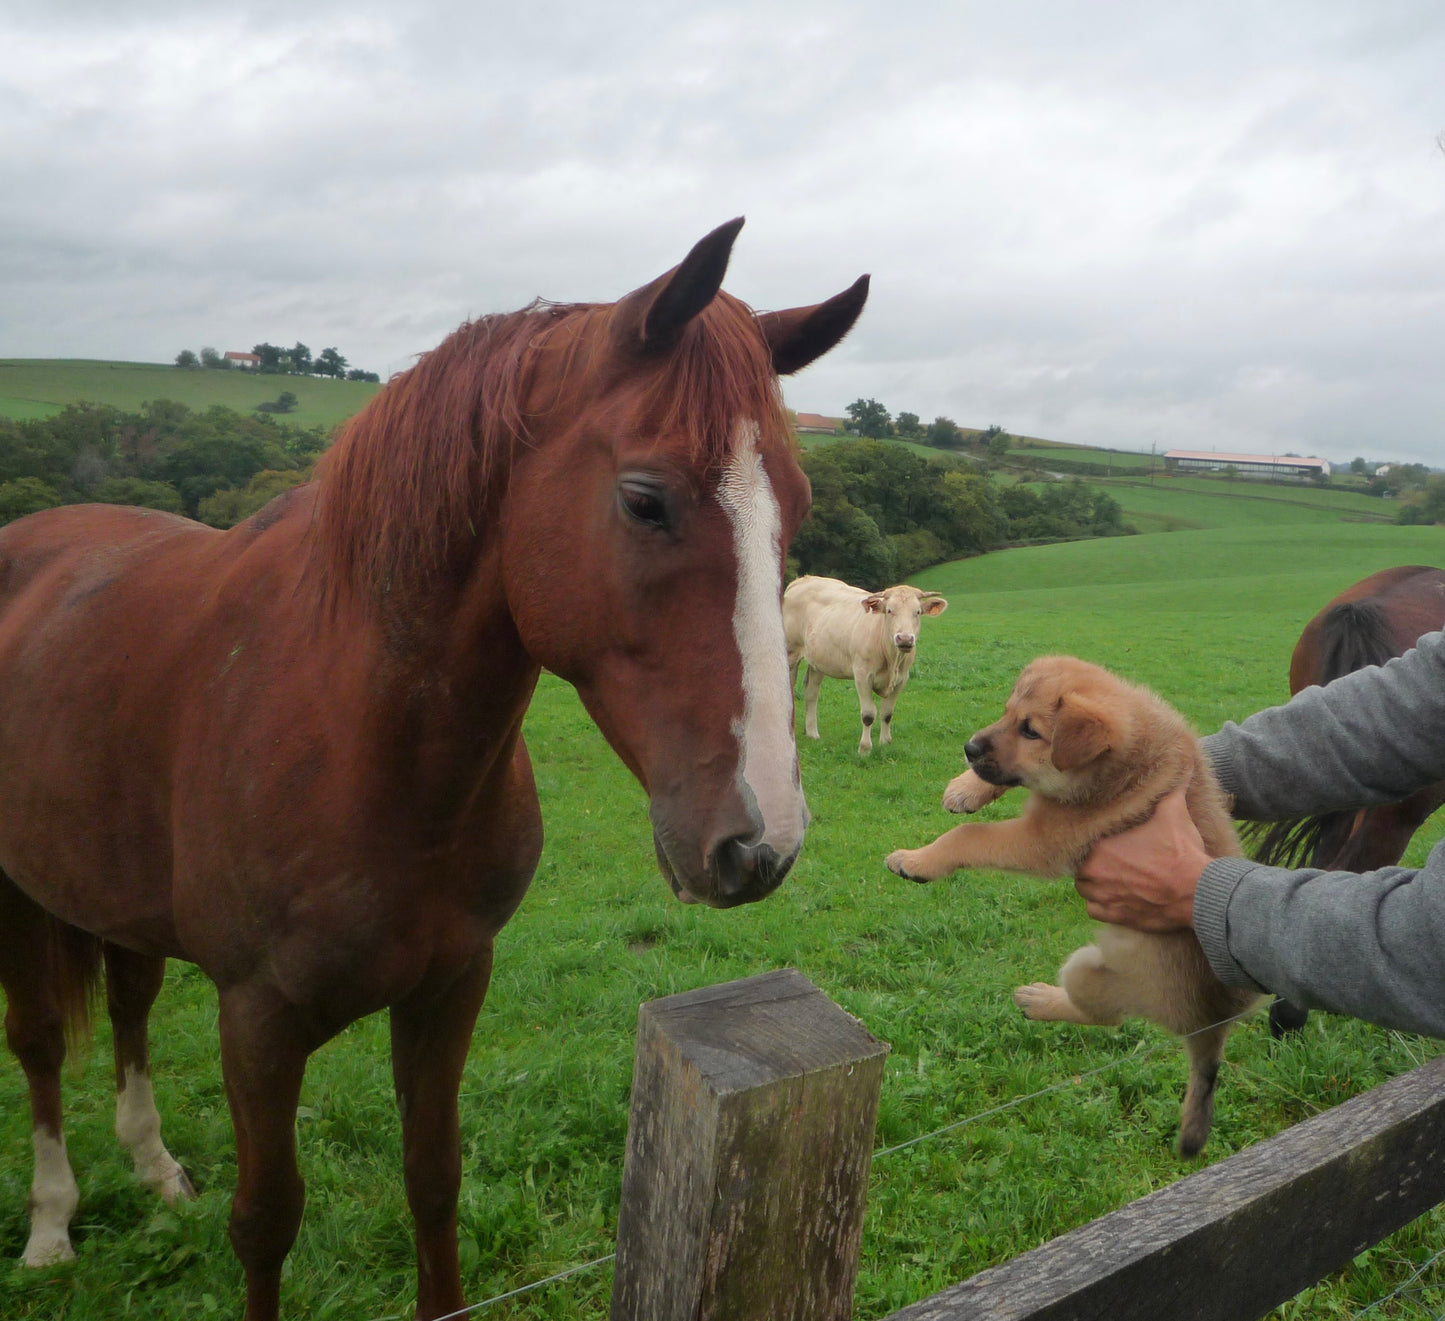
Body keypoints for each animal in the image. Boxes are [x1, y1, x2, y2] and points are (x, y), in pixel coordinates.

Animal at [0, 221, 867, 1312]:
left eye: (794, 504)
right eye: (644, 501)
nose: (762, 841)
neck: (364, 751)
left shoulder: (451, 983)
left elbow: (432, 1176)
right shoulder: (255, 1021)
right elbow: (264, 1220)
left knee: (128, 1004)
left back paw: (154, 1169)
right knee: (38, 1041)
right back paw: (49, 1224)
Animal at [780, 575, 947, 751]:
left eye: (918, 612)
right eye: (889, 610)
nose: (905, 639)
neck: (892, 660)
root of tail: (803, 579)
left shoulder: (902, 679)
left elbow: (887, 713)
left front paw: (885, 742)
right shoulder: (862, 675)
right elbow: (868, 715)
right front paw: (865, 748)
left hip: (818, 660)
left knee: (811, 691)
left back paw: (812, 733)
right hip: (791, 653)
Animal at [884, 653, 1260, 1150]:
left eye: (1031, 731)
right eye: (1007, 713)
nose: (968, 748)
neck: (1121, 765)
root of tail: (1216, 1024)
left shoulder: (1041, 839)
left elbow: (969, 834)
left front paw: (916, 860)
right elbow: (997, 785)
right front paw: (965, 788)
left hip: (1091, 971)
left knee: (1106, 1017)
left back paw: (1043, 1000)